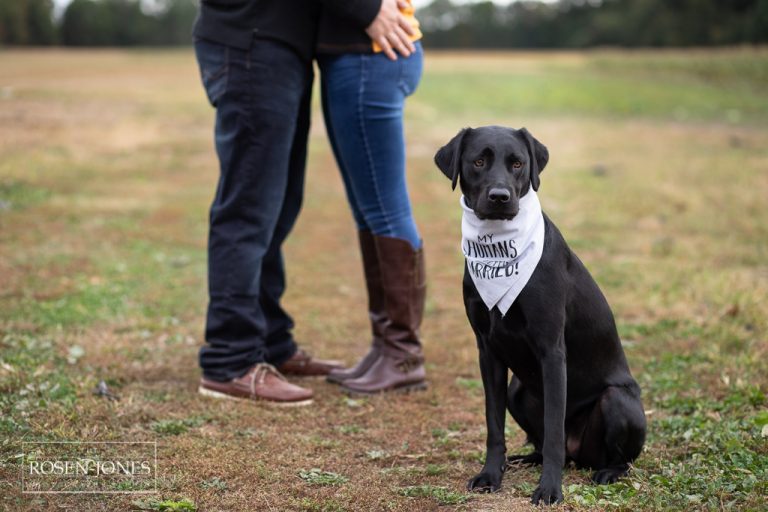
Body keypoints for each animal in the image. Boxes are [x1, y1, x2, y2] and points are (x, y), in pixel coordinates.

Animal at [436, 127, 644, 504]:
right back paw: (523, 459)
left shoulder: (552, 351)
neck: (500, 248)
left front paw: (549, 489)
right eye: (478, 161)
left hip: (617, 400)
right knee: (543, 441)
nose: (500, 196)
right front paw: (491, 474)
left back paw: (607, 472)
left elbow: (552, 432)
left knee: (612, 457)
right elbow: (494, 425)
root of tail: (580, 455)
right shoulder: (487, 351)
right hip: (517, 391)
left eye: (517, 163)